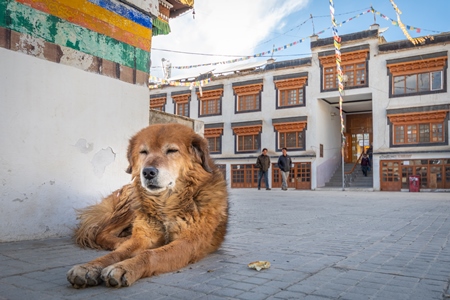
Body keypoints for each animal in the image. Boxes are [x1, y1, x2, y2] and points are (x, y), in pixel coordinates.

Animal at [67, 123, 230, 288]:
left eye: (172, 150)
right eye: (143, 152)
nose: (148, 172)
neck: (165, 204)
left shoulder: (188, 241)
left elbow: (151, 254)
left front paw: (124, 267)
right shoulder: (144, 236)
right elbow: (115, 254)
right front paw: (89, 267)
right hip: (131, 201)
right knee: (102, 232)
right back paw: (122, 240)